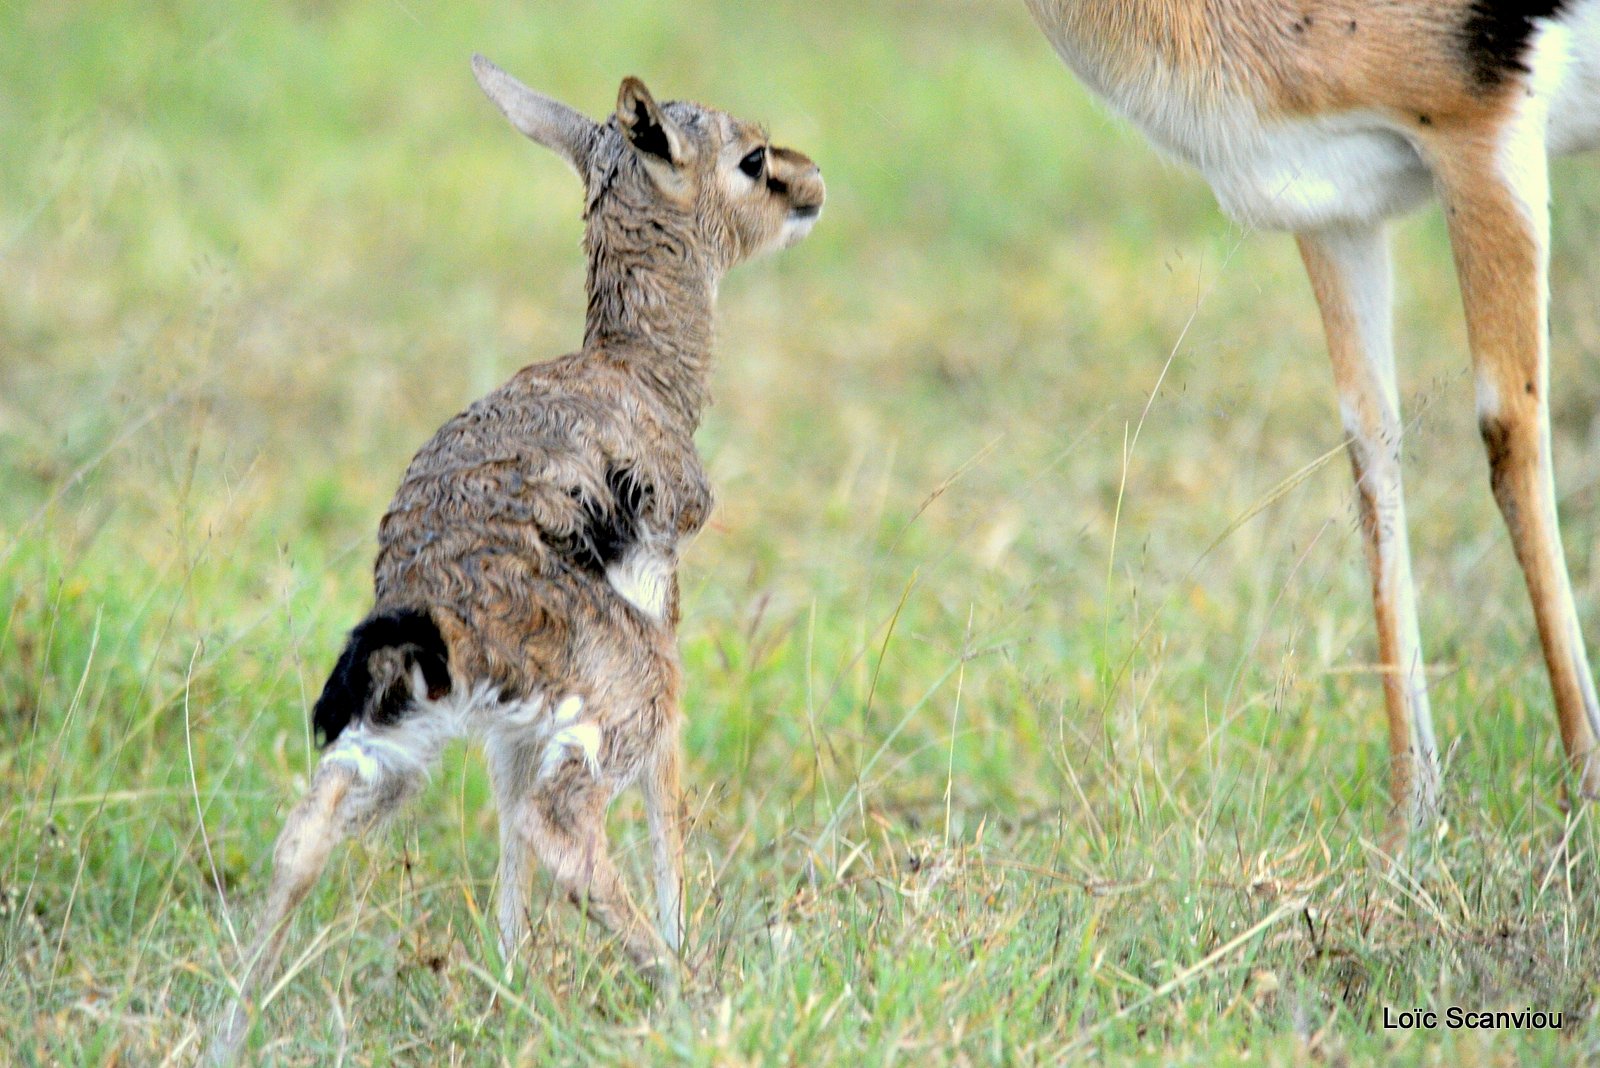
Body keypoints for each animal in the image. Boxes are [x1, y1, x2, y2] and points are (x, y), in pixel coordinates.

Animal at [214, 58, 825, 1061]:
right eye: (752, 155)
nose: (811, 182)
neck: (638, 372)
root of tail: (431, 595)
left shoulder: (510, 724)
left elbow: (501, 818)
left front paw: (507, 977)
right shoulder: (663, 645)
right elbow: (665, 805)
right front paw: (674, 951)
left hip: (401, 734)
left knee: (309, 830)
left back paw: (225, 1028)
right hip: (618, 700)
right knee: (563, 829)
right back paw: (683, 988)